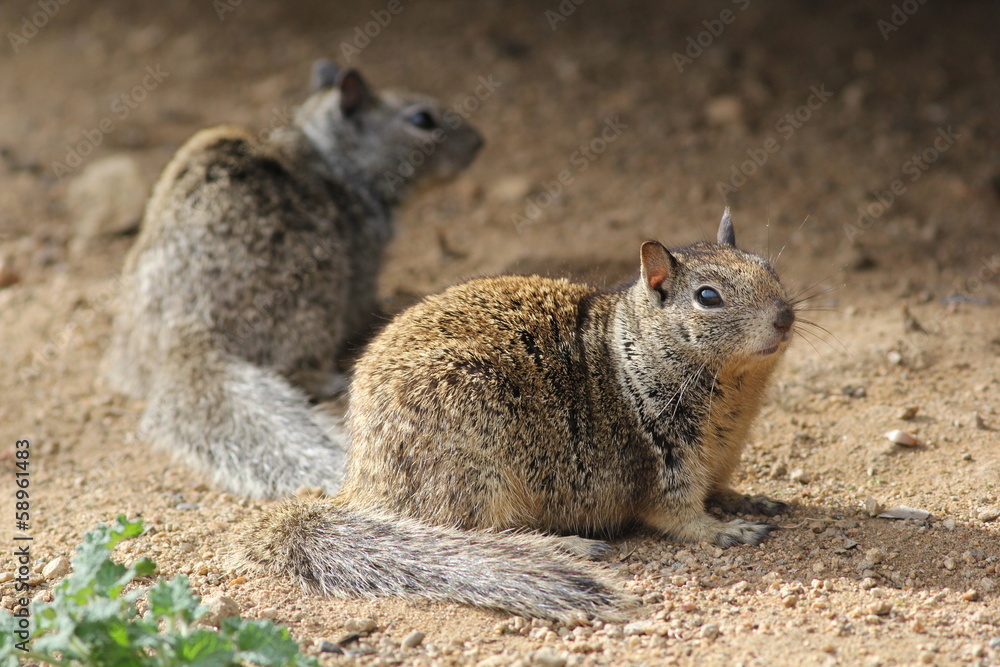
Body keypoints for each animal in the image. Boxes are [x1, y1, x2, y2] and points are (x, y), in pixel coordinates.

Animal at [234, 210, 796, 620]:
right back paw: (569, 545)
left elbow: (724, 489)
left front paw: (752, 500)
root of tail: (361, 487)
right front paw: (728, 531)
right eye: (708, 297)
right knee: (479, 534)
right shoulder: (666, 459)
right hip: (475, 468)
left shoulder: (720, 457)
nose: (785, 316)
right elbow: (681, 517)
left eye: (769, 268)